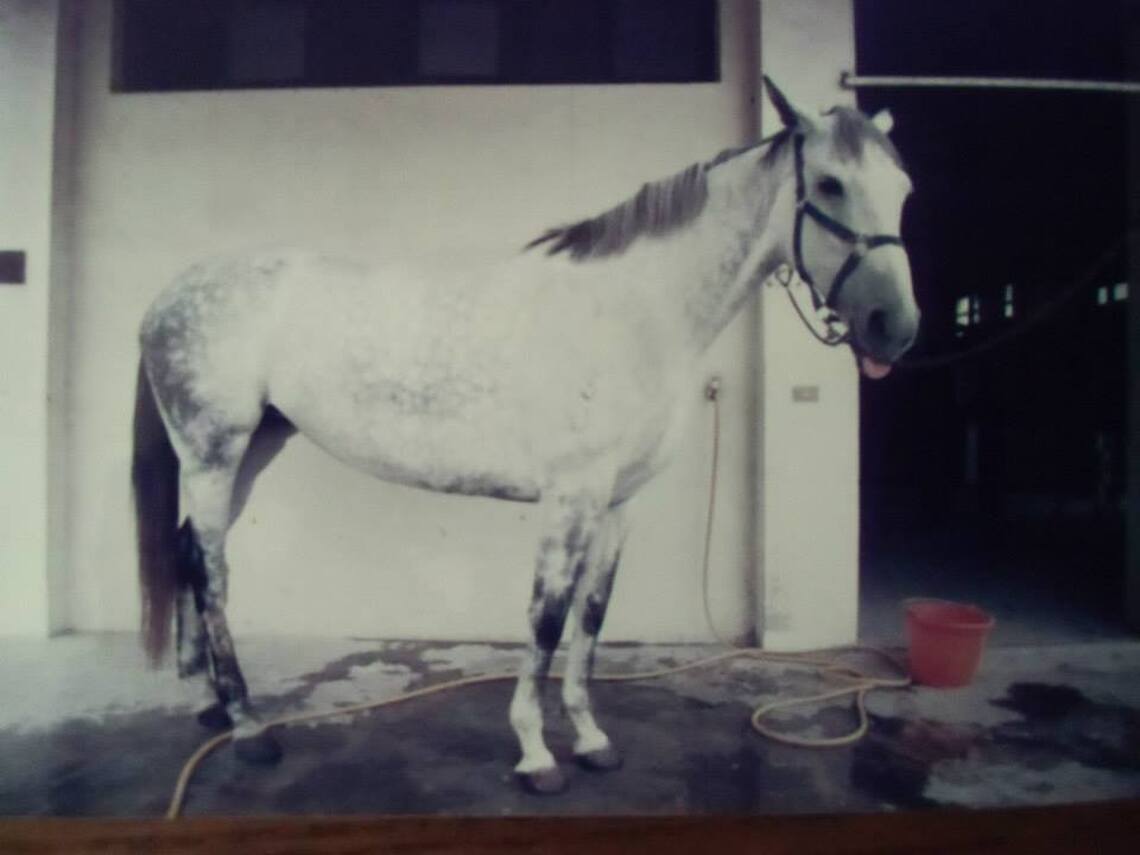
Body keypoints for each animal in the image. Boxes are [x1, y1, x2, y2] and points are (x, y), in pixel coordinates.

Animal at [131, 78, 919, 795]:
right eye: (830, 182)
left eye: (905, 189)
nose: (895, 327)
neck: (634, 311)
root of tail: (169, 295)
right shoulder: (570, 498)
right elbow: (546, 618)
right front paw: (536, 754)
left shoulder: (618, 503)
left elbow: (591, 618)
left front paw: (592, 739)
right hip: (212, 454)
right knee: (212, 570)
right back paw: (248, 728)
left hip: (252, 450)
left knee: (191, 553)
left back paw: (208, 704)